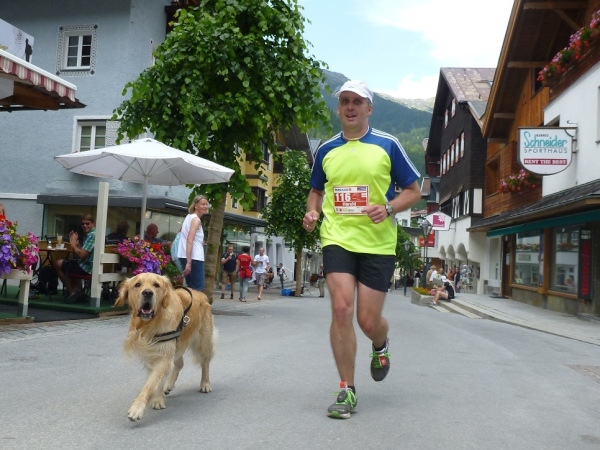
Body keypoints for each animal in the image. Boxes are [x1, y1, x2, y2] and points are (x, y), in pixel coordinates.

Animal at [115, 273, 215, 421]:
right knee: (179, 363)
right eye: (137, 284)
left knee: (205, 363)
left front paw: (137, 408)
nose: (147, 293)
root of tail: (201, 294)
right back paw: (168, 386)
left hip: (203, 342)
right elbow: (156, 380)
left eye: (156, 285)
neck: (150, 324)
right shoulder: (153, 354)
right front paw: (158, 398)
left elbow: (150, 385)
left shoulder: (163, 356)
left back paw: (205, 384)